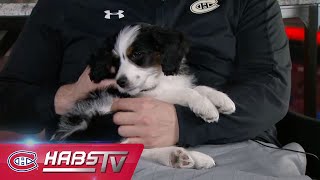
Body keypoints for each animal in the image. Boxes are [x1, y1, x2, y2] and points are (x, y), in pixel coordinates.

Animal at [52, 24, 235, 169]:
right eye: (115, 61)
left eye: (137, 54)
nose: (121, 82)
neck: (157, 77)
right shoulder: (143, 97)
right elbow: (185, 92)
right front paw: (207, 108)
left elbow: (199, 87)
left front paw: (222, 100)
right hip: (107, 120)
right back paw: (176, 156)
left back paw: (190, 158)